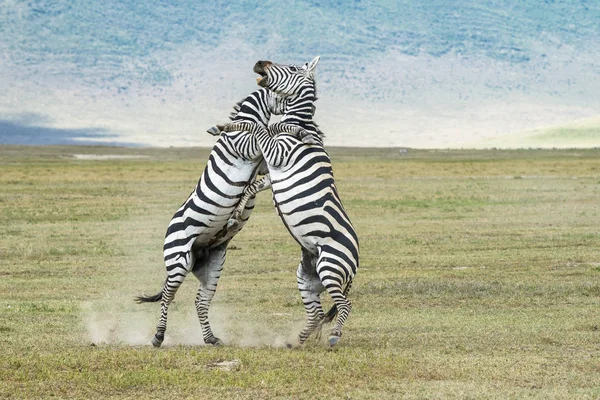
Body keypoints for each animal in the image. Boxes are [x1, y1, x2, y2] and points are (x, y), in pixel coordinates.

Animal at [135, 83, 296, 346]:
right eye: (282, 94)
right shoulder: (247, 148)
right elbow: (263, 133)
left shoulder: (261, 163)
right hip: (178, 260)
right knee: (168, 296)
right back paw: (158, 336)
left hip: (211, 265)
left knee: (200, 300)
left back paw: (211, 338)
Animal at [220, 56, 360, 346]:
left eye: (294, 68)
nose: (260, 62)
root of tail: (355, 263)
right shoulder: (272, 173)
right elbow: (251, 186)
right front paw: (234, 216)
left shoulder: (278, 154)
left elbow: (258, 127)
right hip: (307, 276)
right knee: (316, 313)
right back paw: (295, 341)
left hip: (330, 267)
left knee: (345, 304)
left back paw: (334, 335)